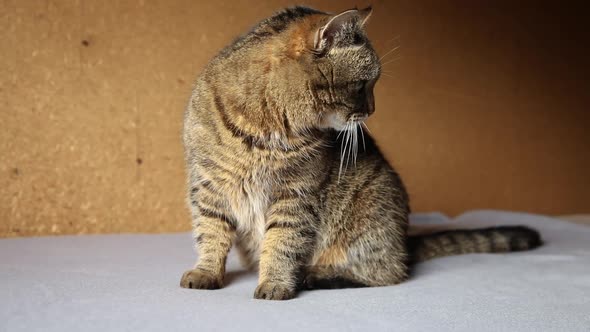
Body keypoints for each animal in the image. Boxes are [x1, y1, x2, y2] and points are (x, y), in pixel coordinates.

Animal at [179, 5, 540, 300]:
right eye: (364, 84)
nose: (372, 110)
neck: (265, 127)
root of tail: (403, 242)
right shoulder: (208, 187)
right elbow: (210, 234)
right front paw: (206, 272)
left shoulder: (296, 195)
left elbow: (281, 243)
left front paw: (275, 283)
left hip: (370, 221)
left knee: (387, 272)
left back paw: (314, 275)